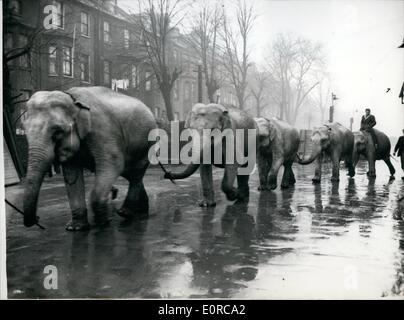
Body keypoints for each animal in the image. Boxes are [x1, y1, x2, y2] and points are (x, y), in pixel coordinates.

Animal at [21, 85, 158, 230]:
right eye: (25, 129)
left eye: (57, 132)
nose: (37, 218)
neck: (72, 99)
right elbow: (72, 173)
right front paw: (75, 228)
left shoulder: (102, 129)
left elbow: (114, 164)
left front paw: (102, 223)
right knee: (130, 174)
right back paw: (141, 210)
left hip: (147, 145)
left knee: (135, 174)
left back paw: (125, 212)